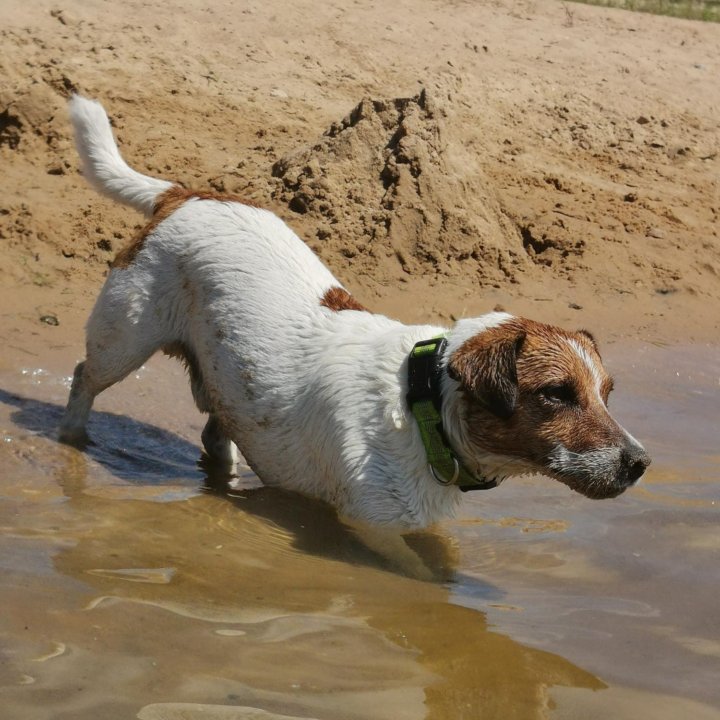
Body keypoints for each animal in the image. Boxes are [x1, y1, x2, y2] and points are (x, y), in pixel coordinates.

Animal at [59, 97, 648, 528]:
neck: (422, 405)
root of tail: (186, 195)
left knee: (215, 430)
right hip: (123, 337)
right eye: (556, 394)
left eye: (606, 394)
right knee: (83, 377)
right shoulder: (374, 525)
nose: (641, 463)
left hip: (222, 377)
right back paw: (72, 441)